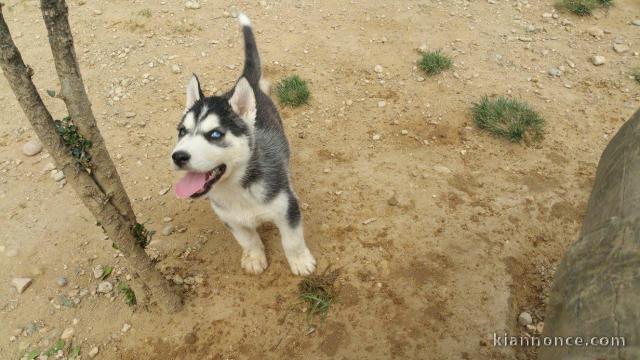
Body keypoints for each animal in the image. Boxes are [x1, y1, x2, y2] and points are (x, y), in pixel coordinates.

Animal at [171, 13, 316, 276]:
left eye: (215, 134)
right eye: (182, 131)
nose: (178, 156)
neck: (237, 188)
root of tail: (247, 82)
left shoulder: (286, 210)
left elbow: (292, 240)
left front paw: (300, 261)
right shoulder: (230, 219)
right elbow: (247, 239)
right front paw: (254, 257)